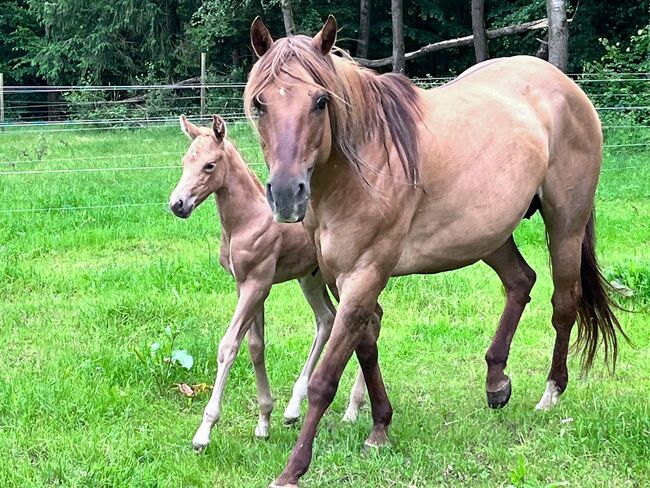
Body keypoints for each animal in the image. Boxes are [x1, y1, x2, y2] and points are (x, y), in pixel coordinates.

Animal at [170, 114, 368, 450]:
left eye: (210, 165)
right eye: (185, 162)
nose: (178, 204)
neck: (246, 221)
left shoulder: (257, 283)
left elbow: (228, 345)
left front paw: (204, 431)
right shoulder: (247, 286)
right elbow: (255, 346)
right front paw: (264, 421)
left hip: (343, 281)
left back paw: (353, 409)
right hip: (310, 278)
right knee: (327, 319)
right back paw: (294, 408)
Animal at [243, 16, 624, 488]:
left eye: (320, 101)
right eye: (260, 104)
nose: (285, 194)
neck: (363, 165)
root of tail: (565, 85)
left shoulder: (365, 273)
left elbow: (326, 379)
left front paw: (293, 469)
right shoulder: (341, 277)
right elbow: (366, 349)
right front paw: (380, 428)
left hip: (565, 224)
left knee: (563, 303)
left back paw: (550, 394)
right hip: (489, 234)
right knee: (521, 282)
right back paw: (496, 382)